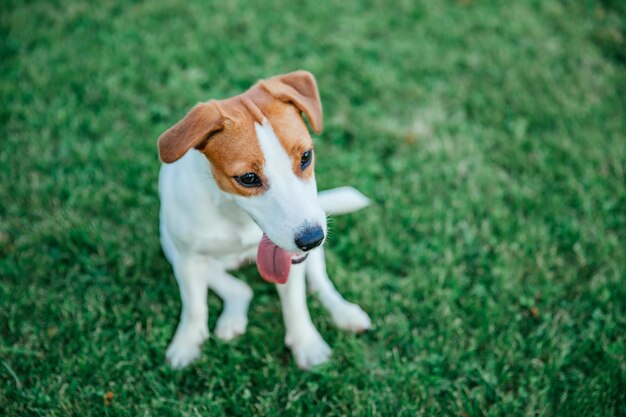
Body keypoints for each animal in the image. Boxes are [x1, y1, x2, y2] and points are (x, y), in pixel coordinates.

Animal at [157, 70, 370, 368]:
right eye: (248, 178)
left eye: (306, 156)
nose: (311, 239)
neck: (235, 214)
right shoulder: (187, 258)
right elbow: (194, 307)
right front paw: (186, 343)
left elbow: (295, 304)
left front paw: (306, 343)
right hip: (170, 245)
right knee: (238, 289)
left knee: (320, 282)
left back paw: (343, 312)